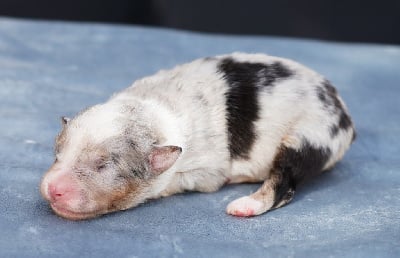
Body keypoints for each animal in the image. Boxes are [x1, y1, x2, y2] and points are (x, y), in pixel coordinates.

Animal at [39, 52, 356, 220]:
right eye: (56, 155)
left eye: (102, 166)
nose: (53, 188)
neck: (154, 113)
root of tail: (343, 112)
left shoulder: (205, 170)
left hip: (309, 133)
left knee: (285, 182)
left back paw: (247, 204)